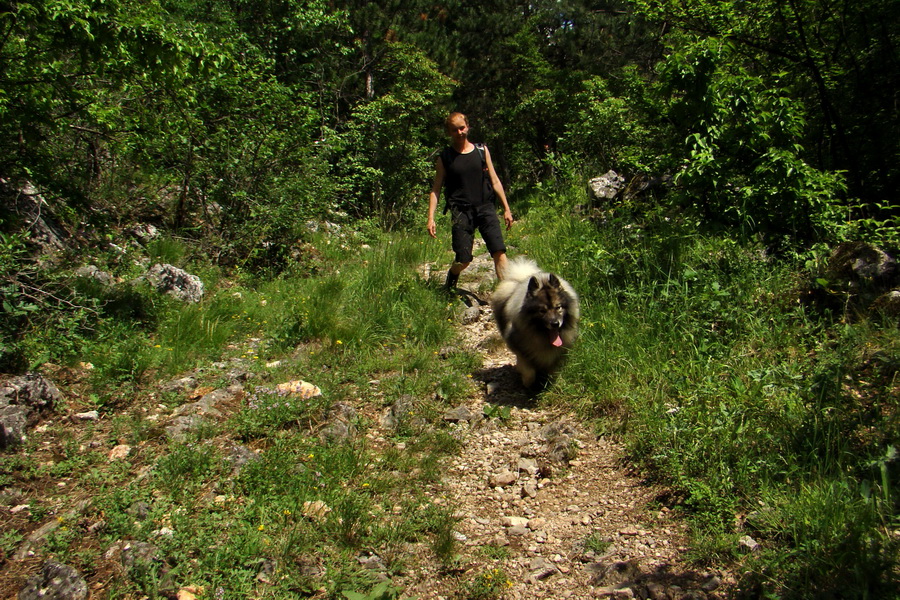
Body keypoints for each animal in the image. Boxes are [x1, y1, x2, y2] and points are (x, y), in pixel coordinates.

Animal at [488, 255, 580, 386]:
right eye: (542, 311)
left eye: (558, 307)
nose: (555, 324)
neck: (544, 337)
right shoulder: (521, 350)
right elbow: (529, 371)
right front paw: (527, 382)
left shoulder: (560, 353)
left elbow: (554, 371)